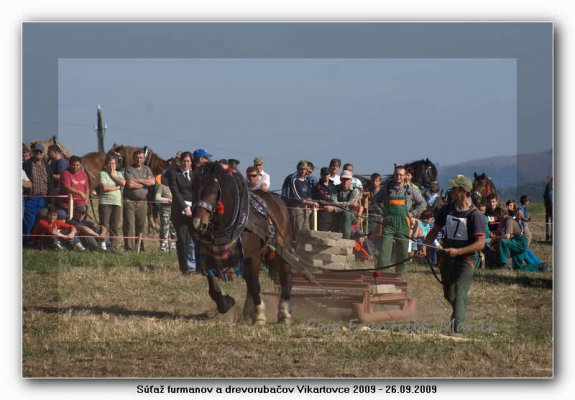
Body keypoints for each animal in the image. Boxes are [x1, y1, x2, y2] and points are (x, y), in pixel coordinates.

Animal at [191, 162, 312, 324]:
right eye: (193, 188)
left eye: (213, 191)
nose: (198, 224)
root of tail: (277, 199)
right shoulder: (210, 258)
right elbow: (213, 289)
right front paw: (227, 303)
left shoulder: (253, 256)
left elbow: (255, 285)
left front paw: (260, 316)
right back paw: (248, 312)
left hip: (282, 248)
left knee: (285, 277)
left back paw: (284, 312)